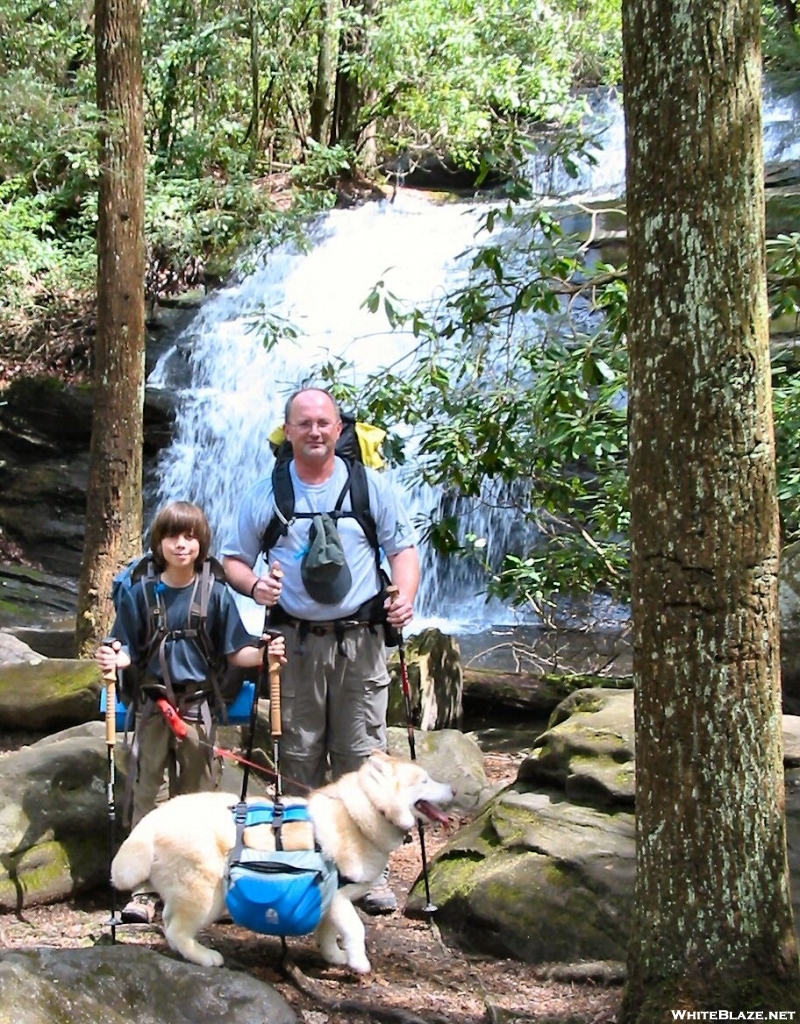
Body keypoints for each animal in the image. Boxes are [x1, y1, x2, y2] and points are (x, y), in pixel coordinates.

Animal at [109, 749, 452, 970]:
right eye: (424, 781)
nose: (452, 789)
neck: (363, 813)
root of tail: (153, 818)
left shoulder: (329, 900)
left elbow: (328, 933)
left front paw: (335, 957)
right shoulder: (339, 897)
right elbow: (356, 929)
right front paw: (359, 962)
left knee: (169, 923)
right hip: (207, 895)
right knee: (177, 929)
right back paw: (204, 956)